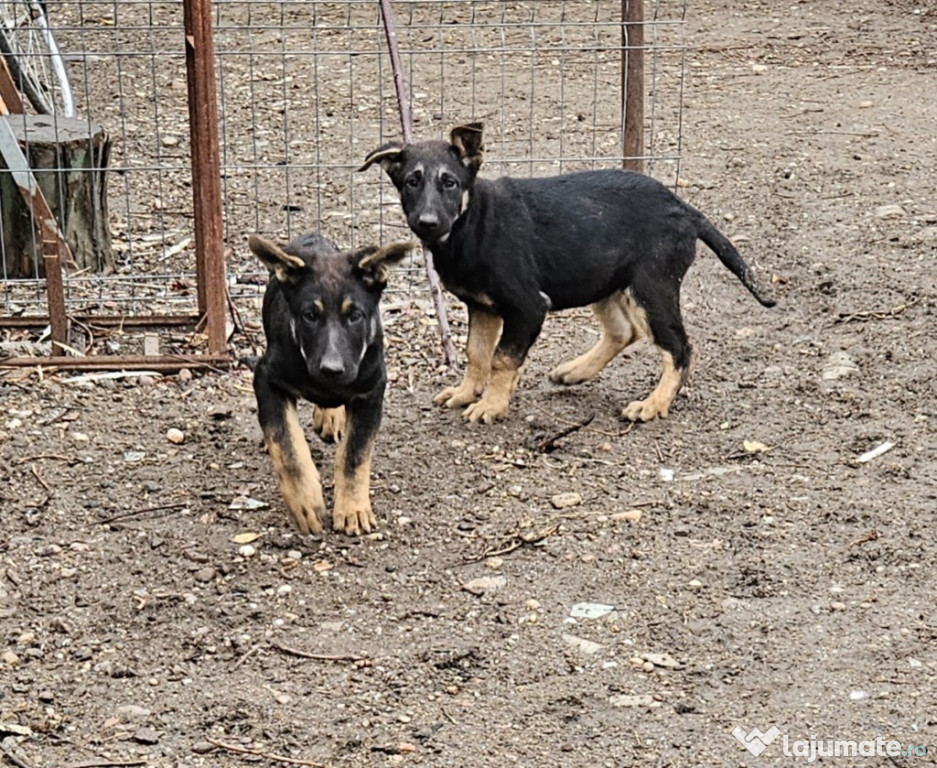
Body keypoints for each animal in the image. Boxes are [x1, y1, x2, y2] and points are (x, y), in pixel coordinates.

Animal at [249, 231, 414, 536]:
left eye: (355, 316)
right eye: (309, 315)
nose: (331, 369)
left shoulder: (371, 391)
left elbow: (354, 454)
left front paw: (352, 509)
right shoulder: (266, 377)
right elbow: (286, 444)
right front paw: (305, 502)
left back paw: (330, 417)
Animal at [358, 124, 776, 426]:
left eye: (450, 183)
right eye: (411, 182)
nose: (427, 222)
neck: (469, 224)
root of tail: (685, 209)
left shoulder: (527, 307)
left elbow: (502, 359)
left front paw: (490, 406)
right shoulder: (483, 307)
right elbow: (476, 353)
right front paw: (465, 392)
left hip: (651, 288)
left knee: (679, 347)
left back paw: (653, 404)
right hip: (602, 279)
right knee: (624, 331)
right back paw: (575, 371)